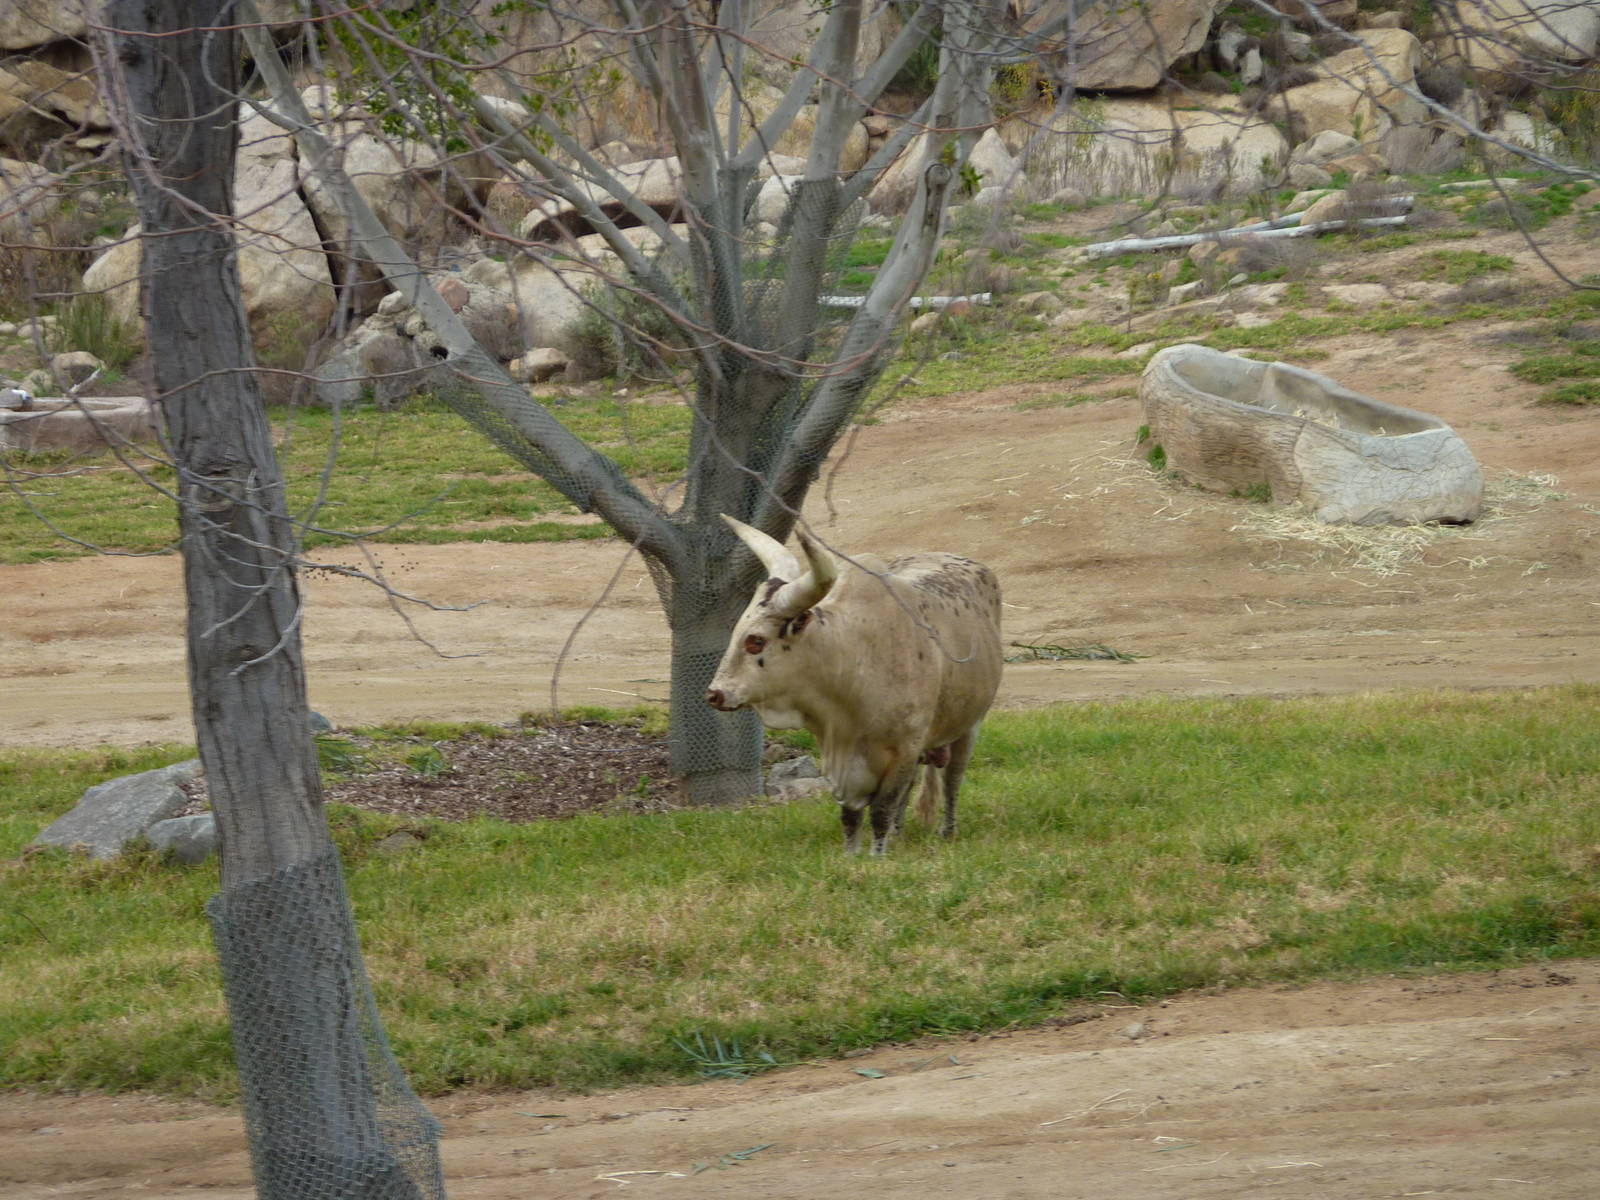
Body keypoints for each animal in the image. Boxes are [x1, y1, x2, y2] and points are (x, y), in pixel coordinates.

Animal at [707, 515, 1003, 855]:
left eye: (755, 641)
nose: (715, 694)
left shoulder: (903, 751)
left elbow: (881, 810)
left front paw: (877, 856)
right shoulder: (844, 764)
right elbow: (851, 817)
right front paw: (853, 855)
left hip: (970, 726)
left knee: (951, 781)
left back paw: (947, 830)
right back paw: (900, 834)